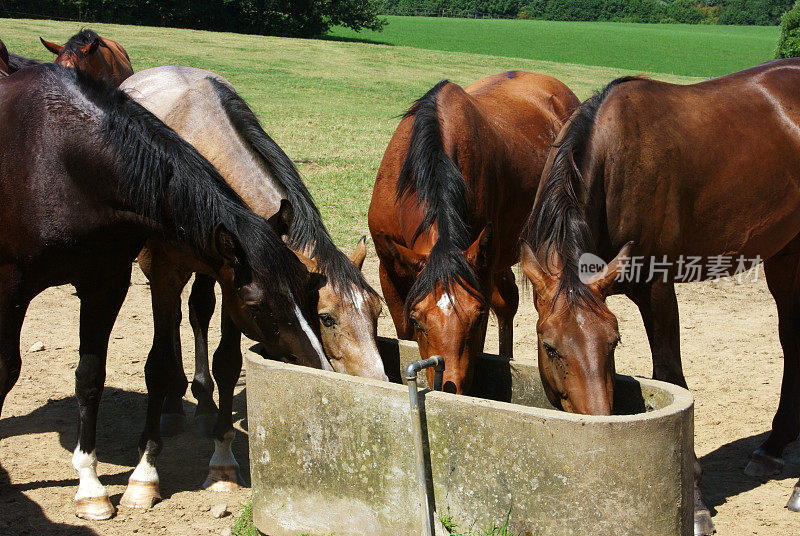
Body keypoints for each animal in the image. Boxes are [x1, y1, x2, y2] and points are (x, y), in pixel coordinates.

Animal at [0, 62, 328, 520]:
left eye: (307, 289)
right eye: (257, 303)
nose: (318, 367)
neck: (63, 163)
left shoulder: (109, 282)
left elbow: (93, 376)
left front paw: (94, 488)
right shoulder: (13, 285)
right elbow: (8, 370)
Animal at [520, 58, 800, 536]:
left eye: (613, 342)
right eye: (550, 347)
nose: (598, 426)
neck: (613, 161)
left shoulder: (657, 288)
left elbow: (670, 374)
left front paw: (697, 502)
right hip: (785, 251)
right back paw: (774, 445)